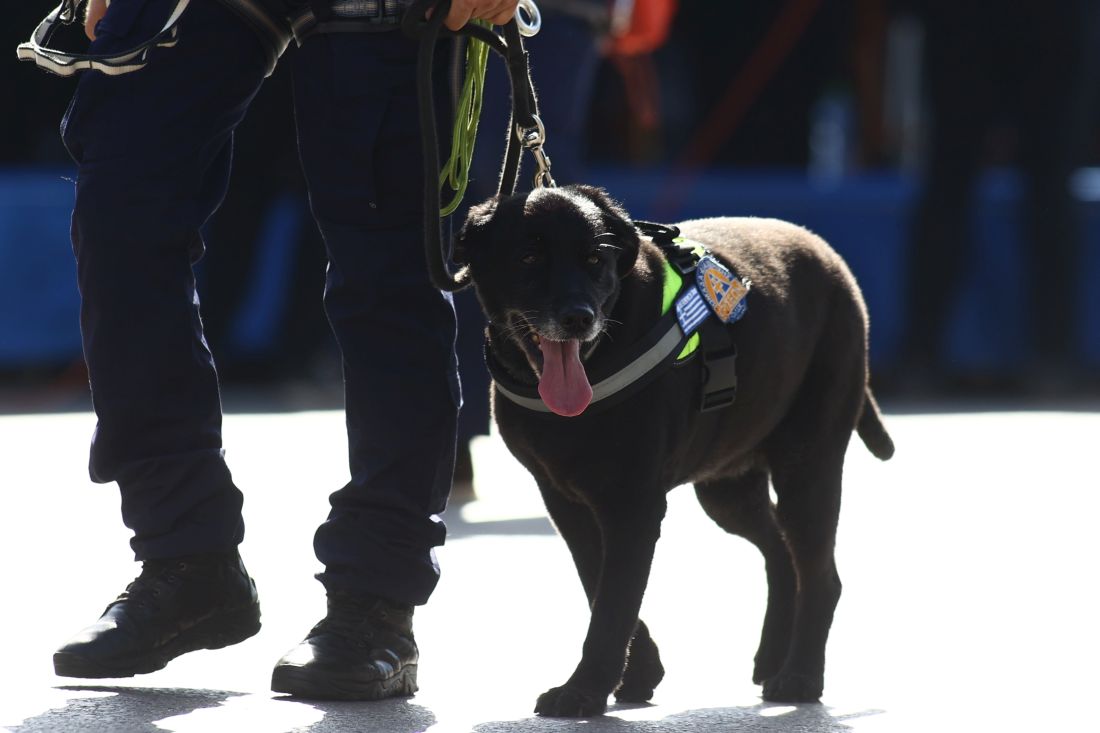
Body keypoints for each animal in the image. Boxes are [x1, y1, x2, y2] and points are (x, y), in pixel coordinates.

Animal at [455, 182, 893, 713]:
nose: (578, 318)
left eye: (595, 259)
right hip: (727, 489)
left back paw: (800, 677)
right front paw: (638, 674)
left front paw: (584, 690)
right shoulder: (564, 498)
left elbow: (614, 602)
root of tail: (829, 257)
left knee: (820, 573)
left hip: (807, 463)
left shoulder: (634, 503)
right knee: (781, 553)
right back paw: (773, 659)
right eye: (528, 257)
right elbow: (598, 582)